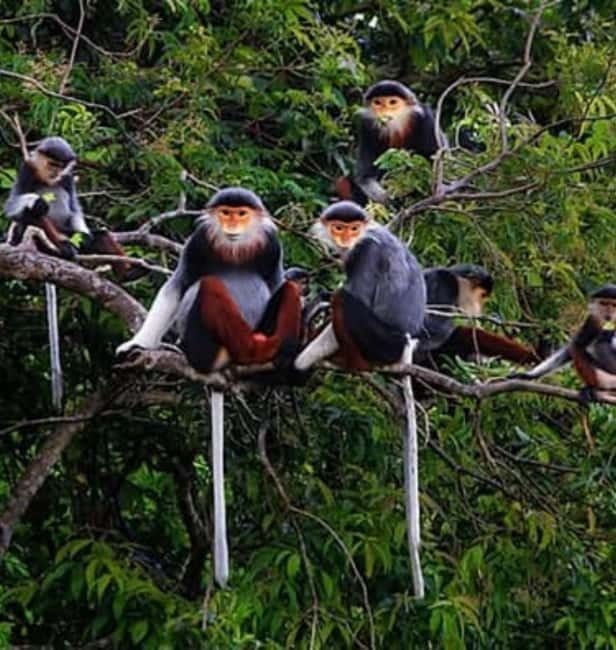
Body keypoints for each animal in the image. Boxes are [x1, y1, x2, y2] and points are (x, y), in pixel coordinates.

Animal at [116, 187, 302, 587]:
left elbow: (277, 280)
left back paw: (277, 352)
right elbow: (177, 287)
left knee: (287, 289)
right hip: (206, 347)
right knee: (207, 285)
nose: (231, 224)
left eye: (242, 213)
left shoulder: (271, 245)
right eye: (226, 212)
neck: (234, 248)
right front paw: (137, 344)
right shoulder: (200, 241)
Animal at [294, 200, 426, 372]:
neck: (363, 236)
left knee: (341, 297)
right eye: (339, 228)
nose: (346, 239)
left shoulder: (367, 252)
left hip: (388, 344)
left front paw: (299, 360)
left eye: (354, 229)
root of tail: (408, 343)